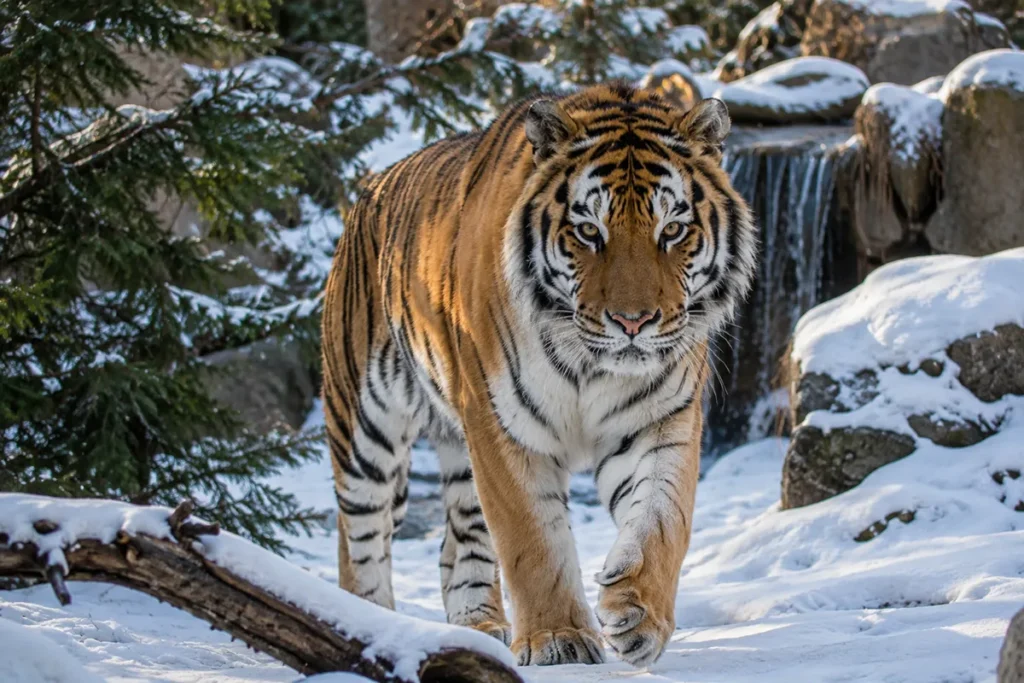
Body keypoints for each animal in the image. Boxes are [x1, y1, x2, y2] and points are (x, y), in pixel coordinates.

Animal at [320, 83, 757, 668]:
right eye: (589, 231)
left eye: (672, 230)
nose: (633, 322)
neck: (590, 364)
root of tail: (369, 188)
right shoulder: (503, 425)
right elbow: (532, 539)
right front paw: (558, 638)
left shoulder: (660, 420)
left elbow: (664, 519)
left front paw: (638, 614)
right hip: (365, 427)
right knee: (359, 541)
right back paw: (369, 626)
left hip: (458, 452)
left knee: (458, 541)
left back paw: (481, 627)